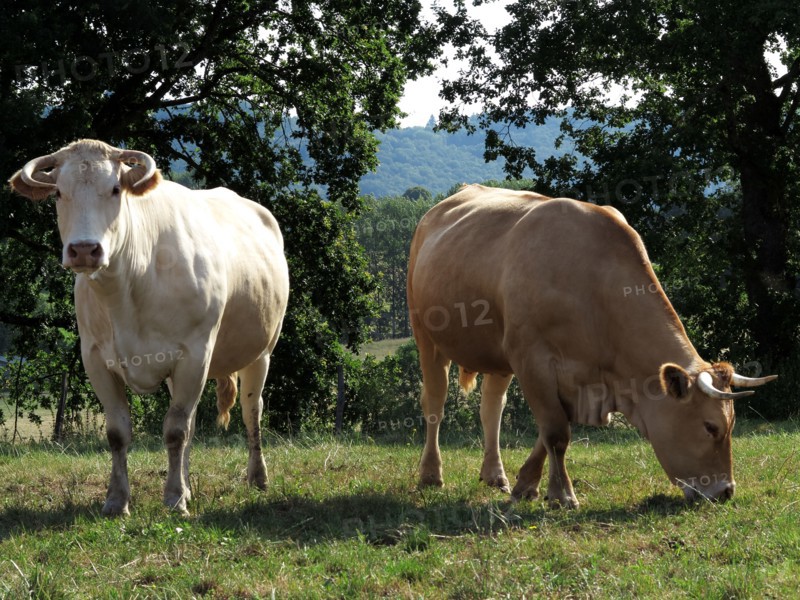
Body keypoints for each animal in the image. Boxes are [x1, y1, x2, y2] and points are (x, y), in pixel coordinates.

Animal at [9, 139, 289, 516]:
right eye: (58, 193)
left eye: (115, 189)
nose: (84, 250)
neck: (128, 285)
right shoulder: (95, 359)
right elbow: (120, 432)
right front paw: (118, 500)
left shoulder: (194, 354)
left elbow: (175, 431)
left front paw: (173, 499)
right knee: (194, 421)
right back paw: (189, 486)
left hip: (261, 352)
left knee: (251, 410)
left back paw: (257, 478)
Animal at [407, 184, 776, 507]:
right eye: (710, 427)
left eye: (732, 426)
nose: (725, 491)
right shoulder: (531, 359)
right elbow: (556, 432)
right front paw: (563, 496)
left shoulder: (572, 376)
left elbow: (551, 432)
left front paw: (527, 485)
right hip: (426, 336)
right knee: (435, 405)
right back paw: (430, 475)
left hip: (496, 354)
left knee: (491, 408)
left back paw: (495, 475)